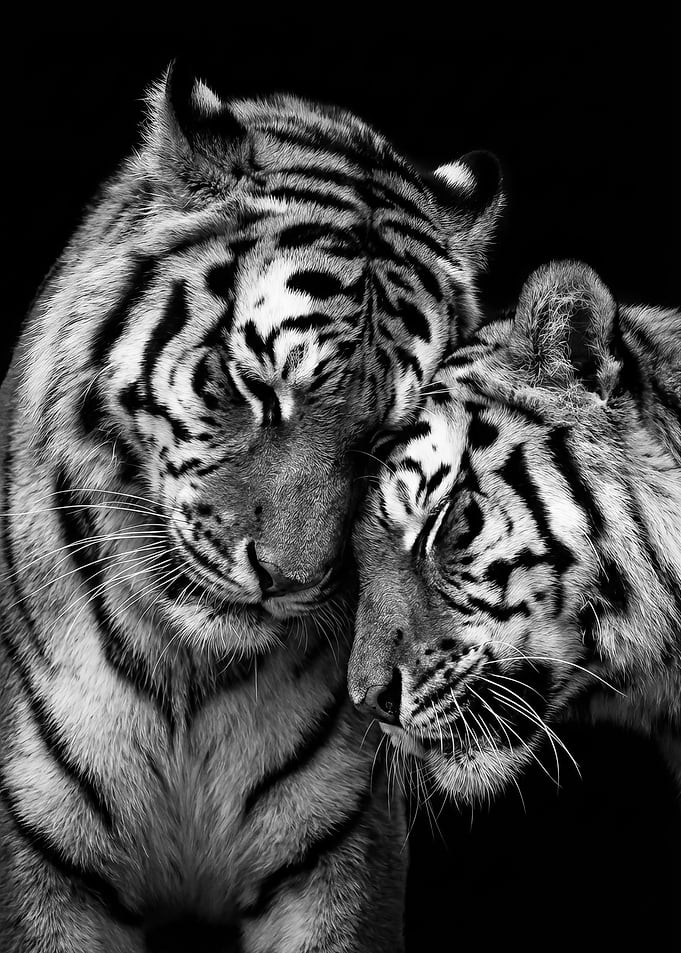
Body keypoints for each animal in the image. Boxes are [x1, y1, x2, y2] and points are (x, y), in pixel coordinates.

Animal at [0, 61, 505, 952]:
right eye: (256, 386)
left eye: (386, 437)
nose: (288, 579)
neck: (189, 682)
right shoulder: (42, 853)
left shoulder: (341, 852)